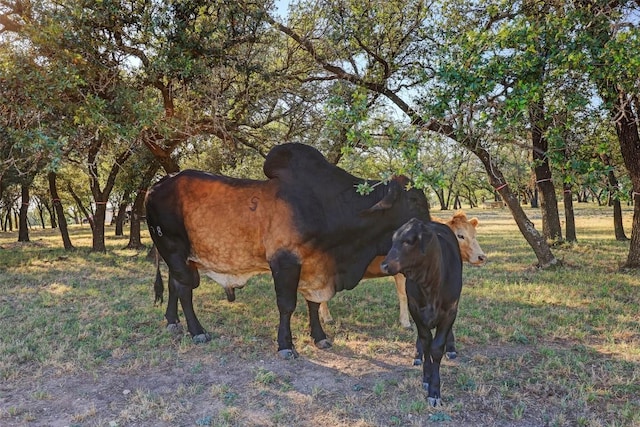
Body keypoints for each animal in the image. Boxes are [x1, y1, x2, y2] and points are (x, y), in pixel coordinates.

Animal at [146, 143, 430, 358]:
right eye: (414, 200)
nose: (430, 232)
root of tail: (154, 187)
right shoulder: (285, 262)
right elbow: (287, 305)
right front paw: (285, 345)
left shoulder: (314, 267)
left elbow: (313, 304)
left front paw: (320, 337)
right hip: (174, 250)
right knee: (184, 289)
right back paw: (197, 331)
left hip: (182, 258)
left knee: (174, 285)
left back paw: (172, 322)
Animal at [318, 211, 488, 328]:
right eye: (460, 235)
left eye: (475, 234)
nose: (481, 257)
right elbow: (404, 295)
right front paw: (406, 322)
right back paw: (327, 317)